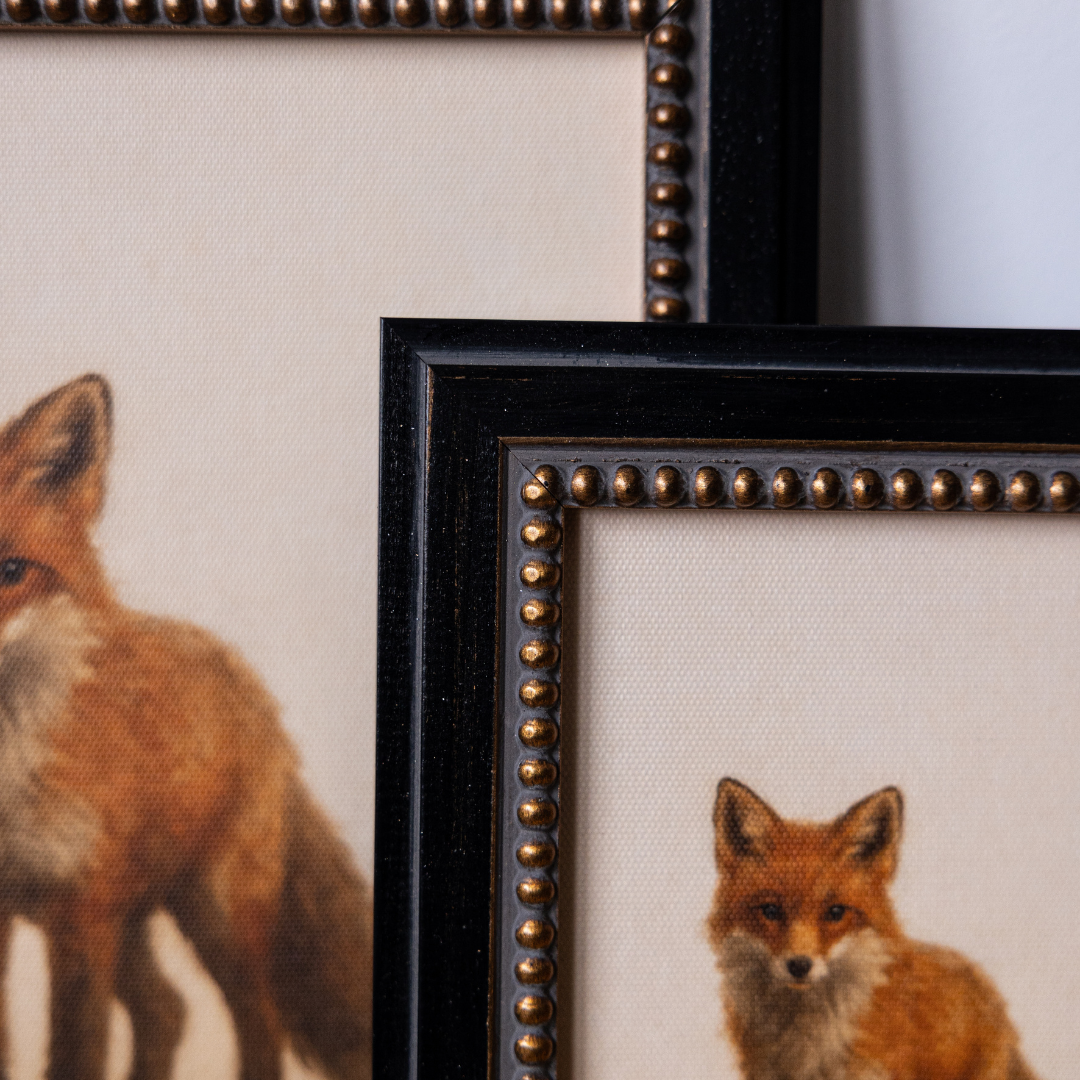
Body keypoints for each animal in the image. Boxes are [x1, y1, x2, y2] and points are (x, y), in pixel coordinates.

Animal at [0, 375, 373, 1080]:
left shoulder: (79, 912)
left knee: (260, 1023)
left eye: (11, 572)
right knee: (166, 1009)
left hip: (214, 913)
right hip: (133, 913)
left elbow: (75, 1055)